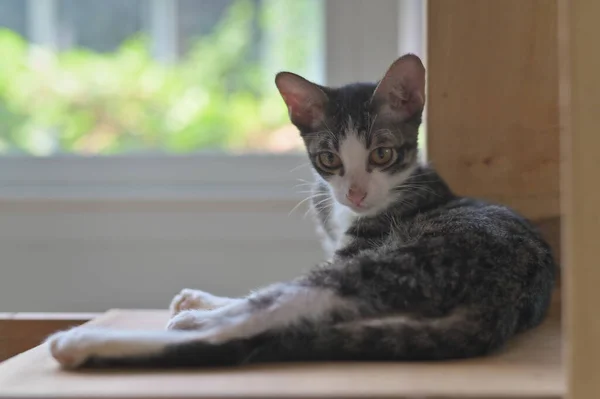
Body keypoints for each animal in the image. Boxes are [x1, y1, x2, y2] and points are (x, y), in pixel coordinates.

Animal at [47, 54, 556, 370]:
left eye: (382, 155)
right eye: (329, 159)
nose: (354, 193)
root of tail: (502, 302)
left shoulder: (355, 251)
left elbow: (271, 294)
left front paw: (201, 308)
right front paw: (203, 299)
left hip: (395, 263)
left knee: (267, 315)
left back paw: (90, 341)